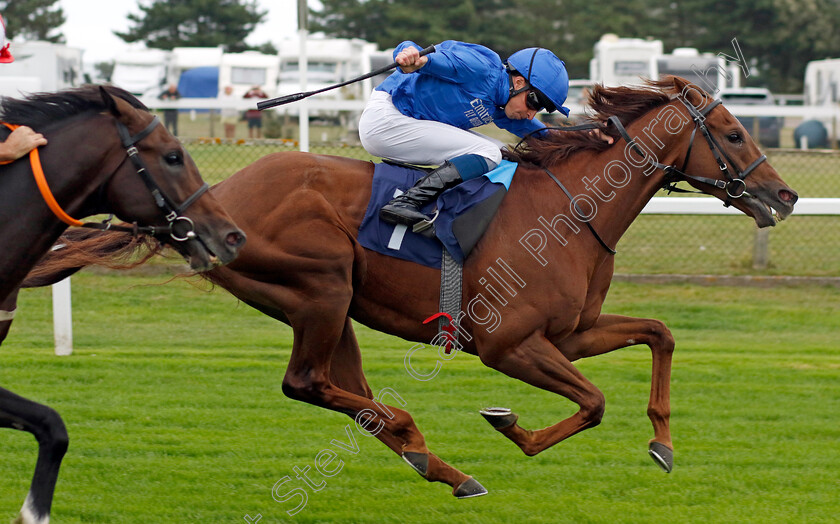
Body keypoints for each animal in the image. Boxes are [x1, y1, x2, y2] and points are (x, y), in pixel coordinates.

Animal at [19, 77, 796, 500]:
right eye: (732, 132)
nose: (784, 196)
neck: (571, 209)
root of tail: (206, 204)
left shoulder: (569, 333)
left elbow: (659, 334)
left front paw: (662, 442)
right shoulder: (509, 344)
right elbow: (593, 402)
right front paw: (511, 426)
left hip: (332, 308)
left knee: (345, 393)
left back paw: (432, 458)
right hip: (323, 284)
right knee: (306, 384)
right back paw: (422, 442)